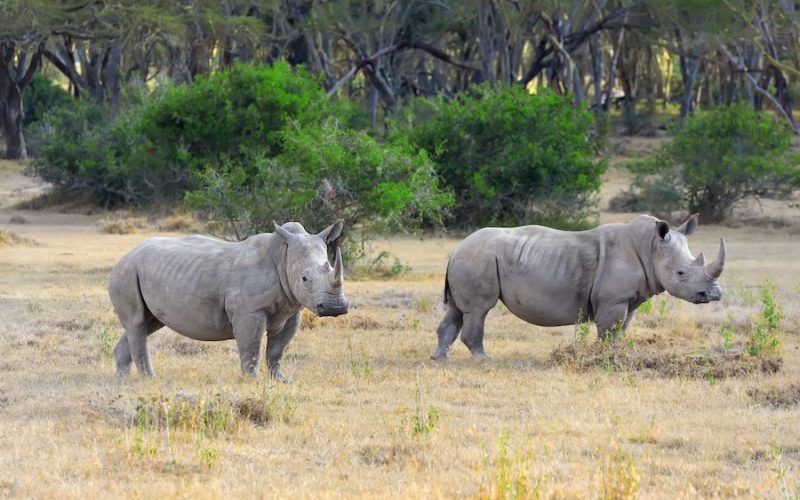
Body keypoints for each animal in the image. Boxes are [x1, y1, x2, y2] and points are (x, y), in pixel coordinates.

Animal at [109, 220, 348, 380]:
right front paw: (251, 381)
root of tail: (125, 255)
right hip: (126, 272)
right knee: (137, 323)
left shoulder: (291, 309)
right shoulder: (250, 311)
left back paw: (122, 380)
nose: (335, 307)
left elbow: (276, 350)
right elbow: (251, 348)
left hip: (141, 272)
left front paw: (280, 380)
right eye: (305, 278)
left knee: (146, 323)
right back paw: (150, 380)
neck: (283, 256)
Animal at [432, 214, 725, 360]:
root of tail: (455, 249)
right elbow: (608, 330)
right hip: (478, 258)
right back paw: (483, 359)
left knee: (457, 310)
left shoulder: (628, 300)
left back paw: (440, 359)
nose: (714, 294)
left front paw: (616, 356)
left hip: (469, 259)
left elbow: (621, 330)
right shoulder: (613, 300)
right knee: (479, 310)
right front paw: (603, 359)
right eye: (681, 273)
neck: (651, 247)